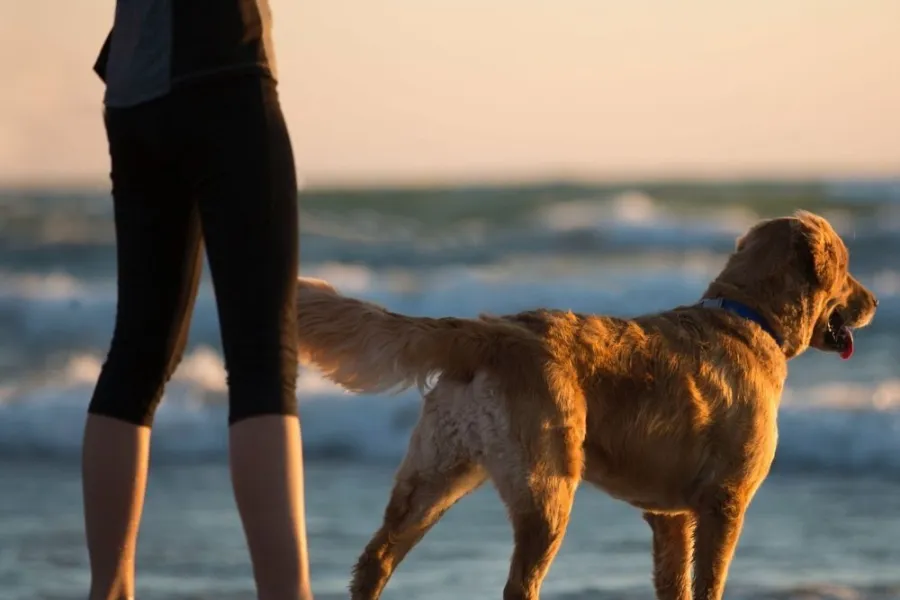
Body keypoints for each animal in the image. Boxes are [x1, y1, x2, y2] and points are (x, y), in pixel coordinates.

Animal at [296, 209, 880, 596]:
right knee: (517, 584)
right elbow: (710, 583)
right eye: (848, 266)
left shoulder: (670, 516)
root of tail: (494, 331)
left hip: (436, 474)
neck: (747, 316)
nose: (874, 301)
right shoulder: (725, 503)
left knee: (375, 558)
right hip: (547, 486)